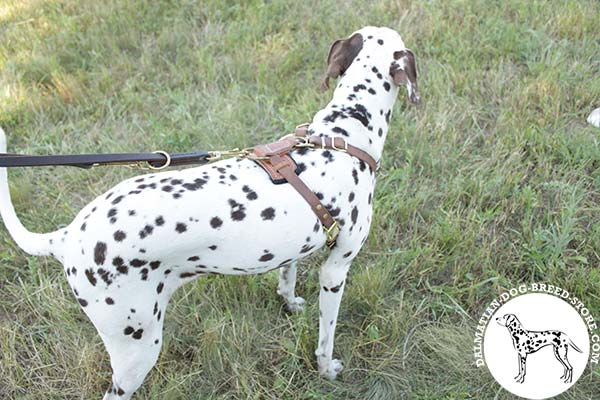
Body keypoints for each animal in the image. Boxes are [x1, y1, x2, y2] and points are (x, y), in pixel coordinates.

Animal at [0, 26, 420, 398]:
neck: (342, 135)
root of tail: (67, 236)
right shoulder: (336, 270)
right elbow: (326, 335)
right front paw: (326, 368)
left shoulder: (295, 250)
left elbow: (287, 277)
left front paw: (290, 302)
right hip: (136, 349)